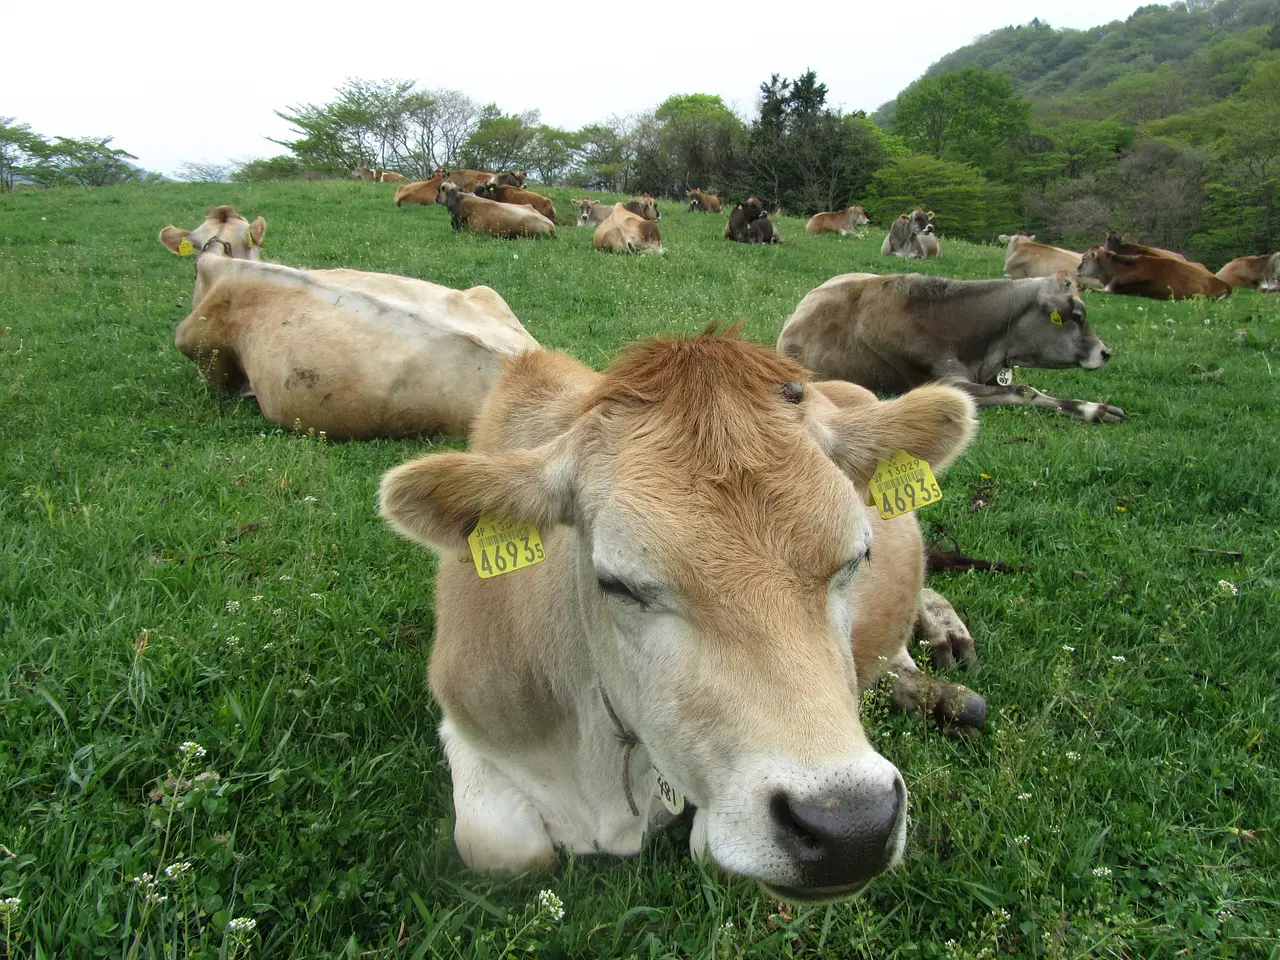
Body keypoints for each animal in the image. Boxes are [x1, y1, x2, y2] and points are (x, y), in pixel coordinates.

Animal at [373, 330, 983, 901]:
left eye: (858, 558)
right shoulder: (464, 720)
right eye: (616, 584)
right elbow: (500, 848)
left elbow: (711, 852)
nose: (852, 826)